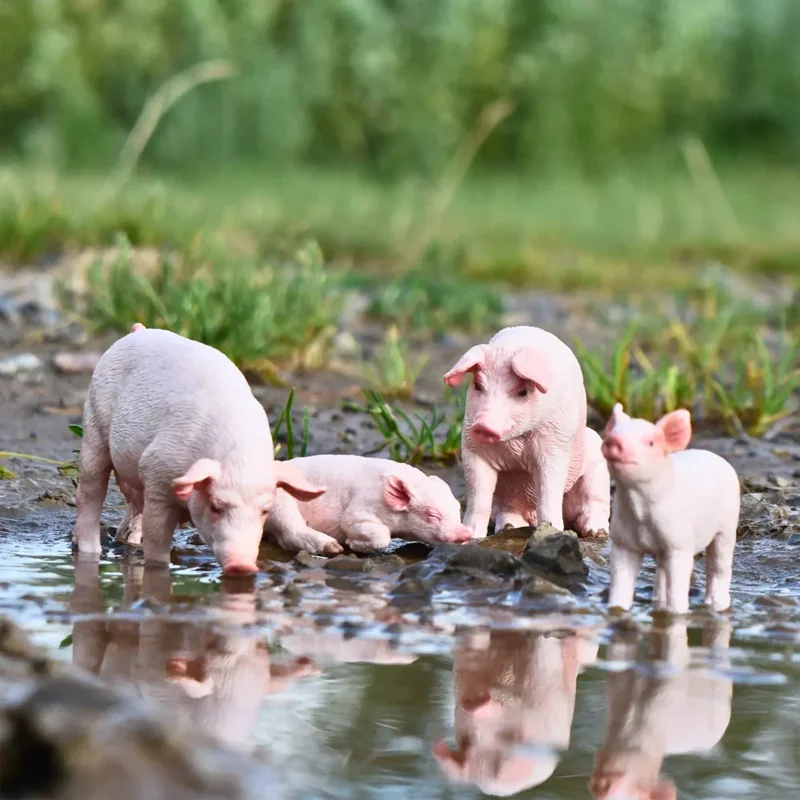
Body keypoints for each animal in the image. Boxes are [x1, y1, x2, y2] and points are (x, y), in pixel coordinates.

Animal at [72, 327, 325, 574]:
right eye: (216, 506)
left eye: (265, 511)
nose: (242, 565)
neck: (236, 458)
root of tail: (139, 330)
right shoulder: (157, 469)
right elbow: (157, 537)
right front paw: (158, 569)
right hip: (94, 420)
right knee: (90, 490)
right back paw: (91, 550)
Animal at [264, 455, 471, 554]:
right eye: (432, 514)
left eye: (457, 509)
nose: (465, 533)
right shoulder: (360, 508)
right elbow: (377, 534)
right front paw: (350, 544)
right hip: (280, 502)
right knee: (290, 532)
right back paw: (333, 548)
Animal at [443, 326, 610, 539]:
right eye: (478, 386)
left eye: (523, 391)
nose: (483, 426)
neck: (516, 446)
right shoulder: (473, 448)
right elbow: (478, 499)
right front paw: (472, 537)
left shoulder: (555, 446)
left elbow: (548, 493)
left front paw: (552, 532)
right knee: (510, 509)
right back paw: (508, 527)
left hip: (597, 459)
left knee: (594, 502)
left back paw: (596, 533)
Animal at [602, 403, 740, 613]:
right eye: (612, 432)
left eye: (650, 442)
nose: (613, 440)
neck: (640, 511)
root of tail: (719, 458)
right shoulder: (622, 541)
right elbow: (620, 583)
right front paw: (617, 610)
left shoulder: (680, 542)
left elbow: (678, 583)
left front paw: (677, 613)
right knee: (661, 570)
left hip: (728, 526)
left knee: (718, 567)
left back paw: (716, 606)